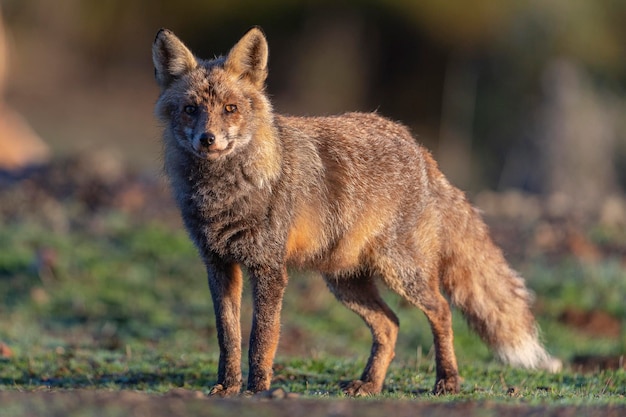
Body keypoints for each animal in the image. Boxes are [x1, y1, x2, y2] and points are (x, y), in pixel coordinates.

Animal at [152, 26, 560, 396]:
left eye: (230, 109)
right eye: (190, 110)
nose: (208, 139)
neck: (224, 196)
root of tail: (419, 149)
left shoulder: (269, 269)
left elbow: (261, 339)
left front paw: (257, 390)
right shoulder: (219, 265)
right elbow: (228, 337)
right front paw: (227, 386)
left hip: (402, 272)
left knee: (441, 311)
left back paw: (447, 381)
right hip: (345, 280)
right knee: (390, 324)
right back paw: (370, 384)